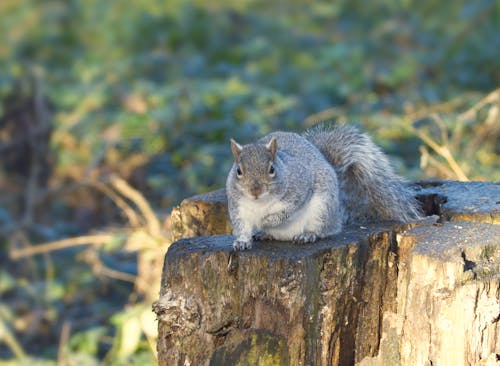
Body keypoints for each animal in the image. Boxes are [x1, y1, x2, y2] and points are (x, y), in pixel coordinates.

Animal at [227, 124, 422, 250]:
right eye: (238, 171)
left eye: (271, 169)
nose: (255, 191)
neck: (261, 203)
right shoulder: (238, 208)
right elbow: (242, 227)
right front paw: (242, 241)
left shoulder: (300, 188)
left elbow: (287, 210)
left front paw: (269, 220)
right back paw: (265, 234)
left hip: (323, 209)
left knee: (323, 230)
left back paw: (308, 235)